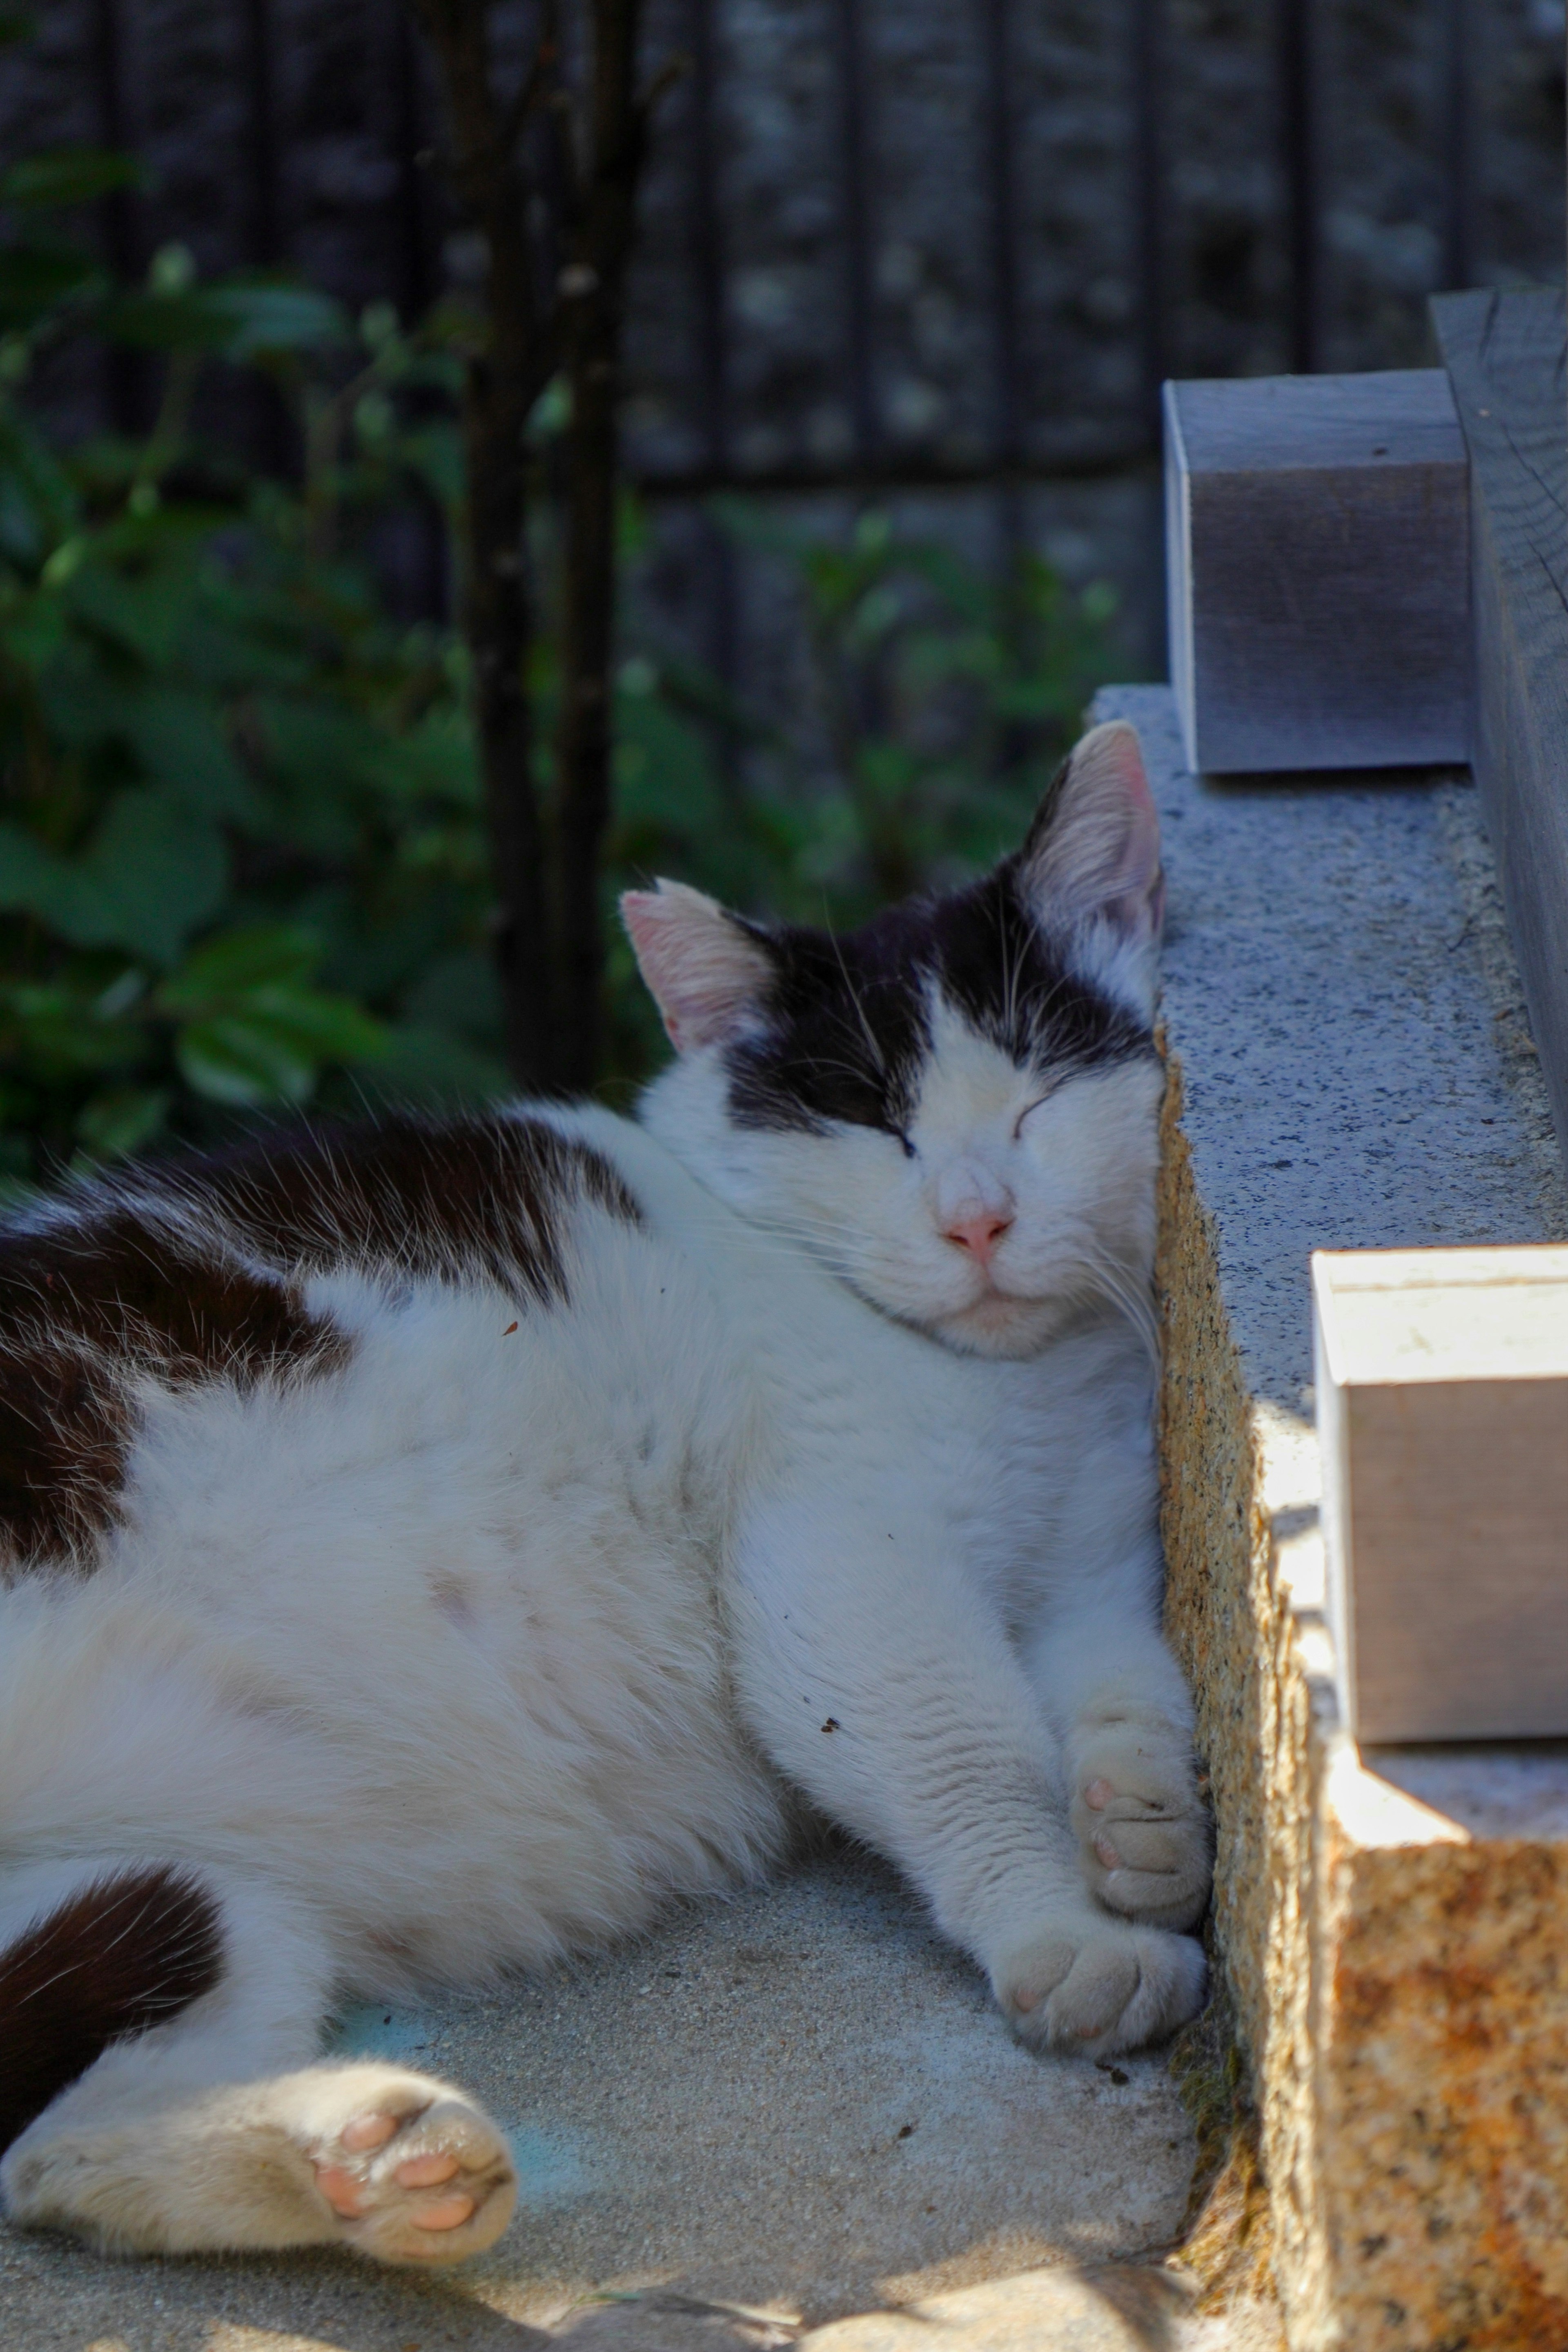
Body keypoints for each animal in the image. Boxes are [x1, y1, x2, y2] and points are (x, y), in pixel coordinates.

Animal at [0, 715, 1213, 2258]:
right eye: (875, 1127)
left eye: (1042, 1093)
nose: (977, 1219)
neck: (1027, 1391)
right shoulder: (841, 1560)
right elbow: (962, 1744)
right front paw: (1065, 1930)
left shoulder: (1092, 1566)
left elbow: (1130, 1683)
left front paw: (1146, 1832)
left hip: (176, 1898)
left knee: (46, 2148)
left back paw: (380, 2166)